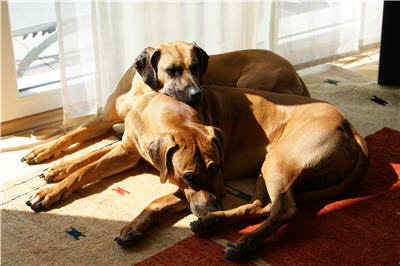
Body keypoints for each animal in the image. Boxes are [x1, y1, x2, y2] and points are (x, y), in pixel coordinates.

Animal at [25, 83, 368, 260]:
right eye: (191, 175)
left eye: (217, 168)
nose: (217, 203)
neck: (164, 112)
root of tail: (351, 128)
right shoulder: (129, 152)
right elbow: (87, 166)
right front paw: (52, 183)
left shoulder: (187, 185)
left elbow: (157, 199)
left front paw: (134, 226)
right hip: (269, 167)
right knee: (262, 205)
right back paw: (213, 224)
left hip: (278, 161)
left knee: (284, 209)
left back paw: (241, 242)